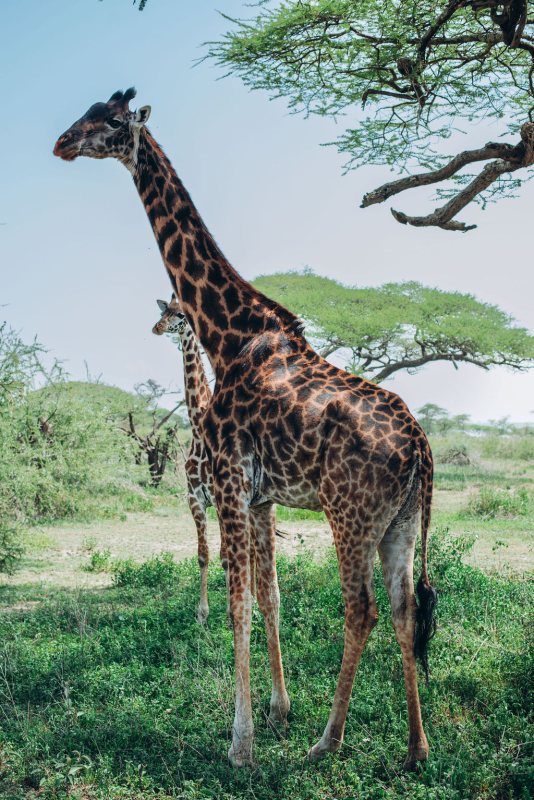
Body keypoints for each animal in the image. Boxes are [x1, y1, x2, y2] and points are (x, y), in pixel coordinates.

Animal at [54, 88, 437, 771]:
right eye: (87, 113)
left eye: (112, 121)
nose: (62, 142)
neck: (225, 336)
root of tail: (420, 447)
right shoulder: (260, 498)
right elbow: (270, 597)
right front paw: (279, 711)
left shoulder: (230, 484)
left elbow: (239, 605)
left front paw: (242, 742)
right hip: (399, 520)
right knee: (402, 608)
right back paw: (416, 749)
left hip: (350, 514)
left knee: (361, 609)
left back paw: (327, 741)